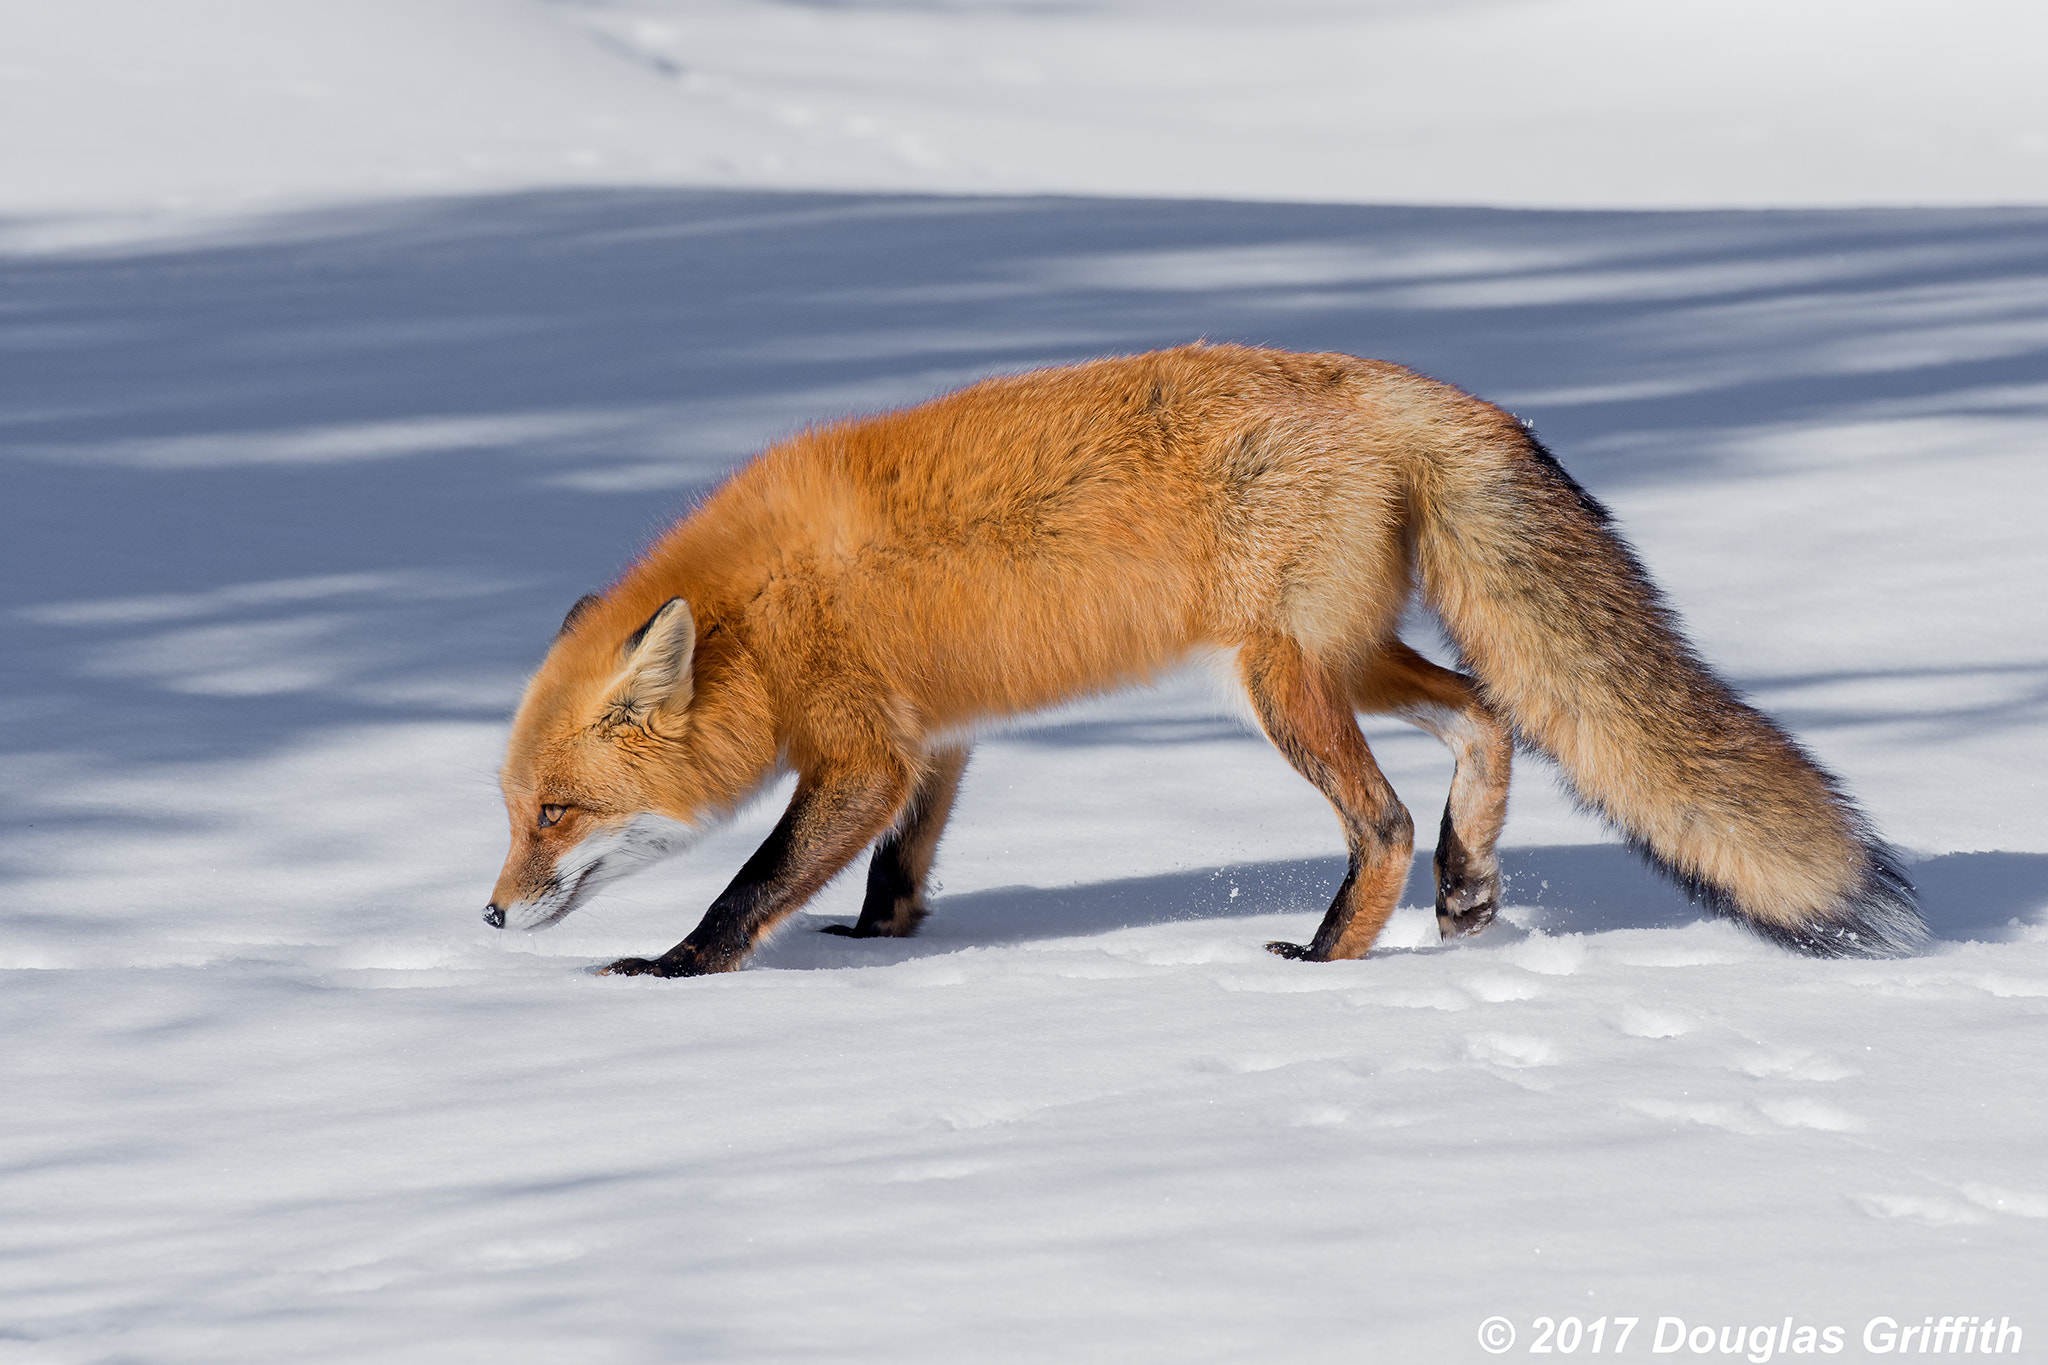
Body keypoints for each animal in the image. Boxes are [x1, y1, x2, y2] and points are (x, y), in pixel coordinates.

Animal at [485, 343, 1925, 976]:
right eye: (510, 812)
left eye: (558, 812)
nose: (491, 914)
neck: (757, 618)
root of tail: (1401, 383)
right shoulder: (933, 738)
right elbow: (902, 864)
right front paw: (880, 939)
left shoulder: (859, 748)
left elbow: (751, 884)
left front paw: (678, 970)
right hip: (1345, 658)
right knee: (1484, 717)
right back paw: (1464, 887)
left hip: (1278, 682)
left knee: (1382, 818)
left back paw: (1331, 954)